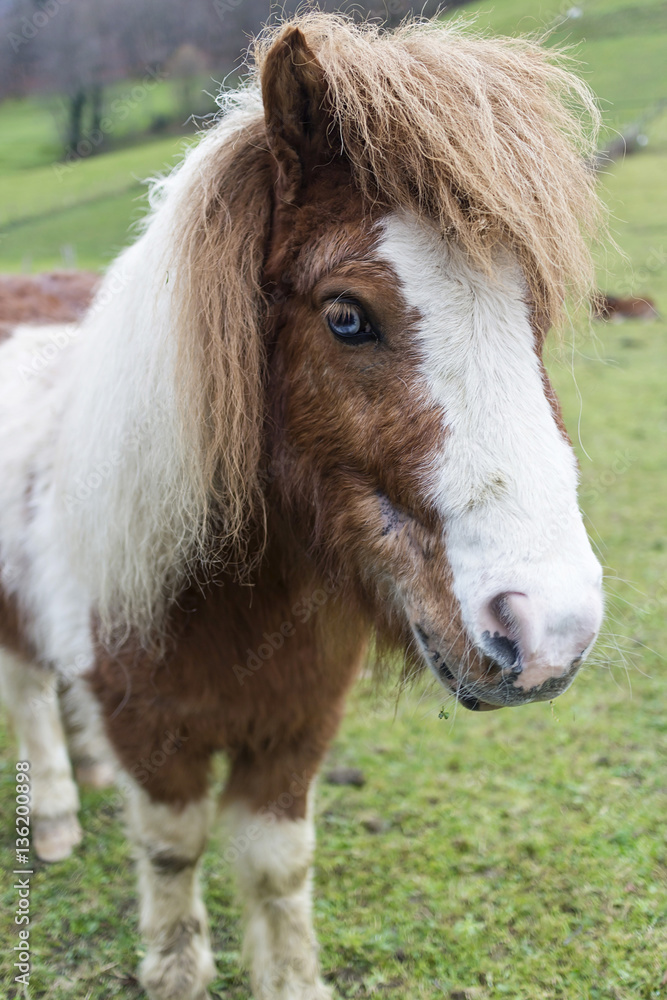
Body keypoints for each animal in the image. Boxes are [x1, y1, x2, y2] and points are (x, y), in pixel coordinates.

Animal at [0, 15, 606, 1000]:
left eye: (533, 310)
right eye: (346, 315)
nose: (550, 628)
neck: (226, 598)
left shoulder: (294, 734)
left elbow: (278, 868)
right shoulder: (154, 737)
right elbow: (172, 851)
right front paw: (175, 966)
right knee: (25, 692)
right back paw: (52, 809)